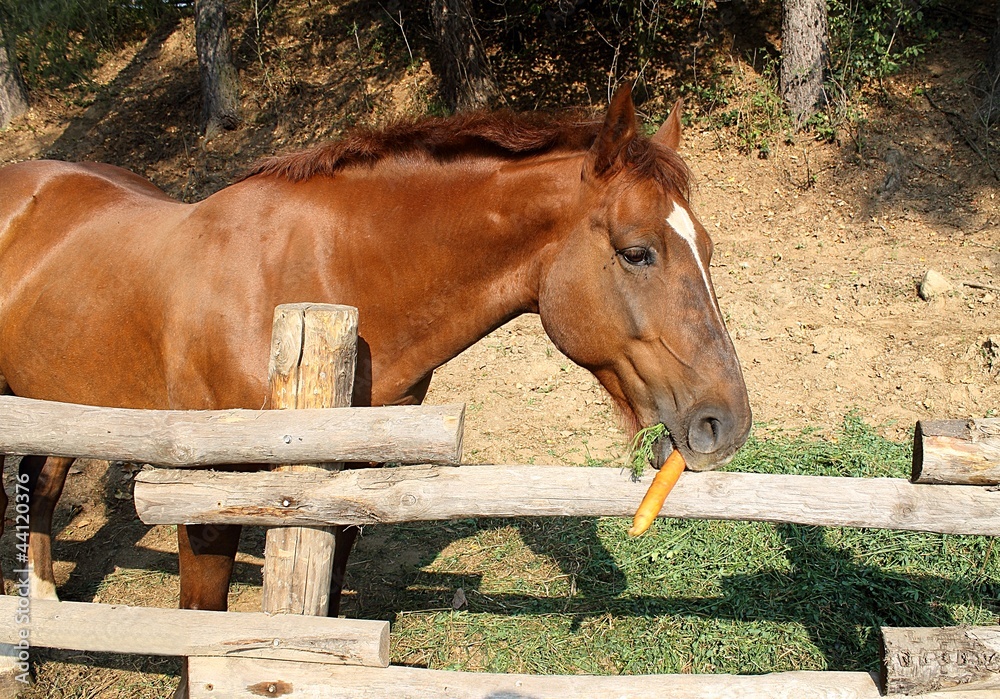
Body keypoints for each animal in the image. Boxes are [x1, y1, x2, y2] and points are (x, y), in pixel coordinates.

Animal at [0, 85, 751, 618]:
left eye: (710, 248)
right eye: (636, 251)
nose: (727, 422)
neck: (317, 279)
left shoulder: (344, 487)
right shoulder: (204, 499)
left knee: (43, 479)